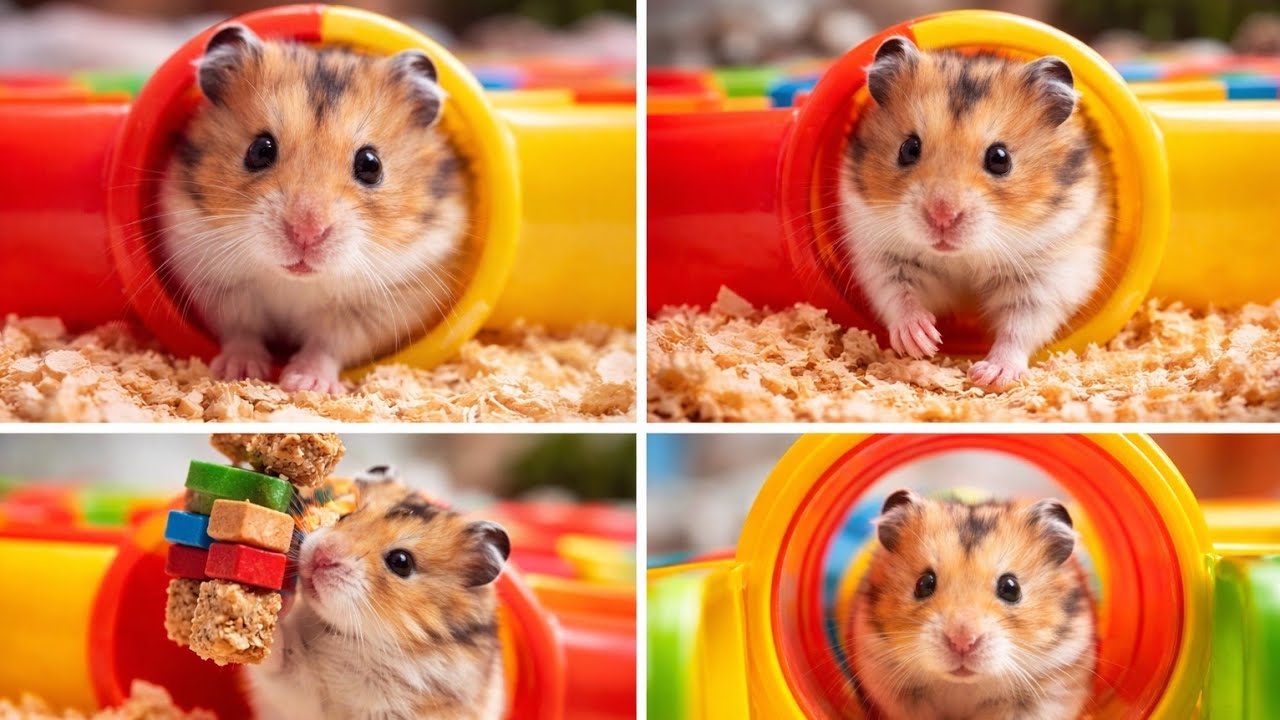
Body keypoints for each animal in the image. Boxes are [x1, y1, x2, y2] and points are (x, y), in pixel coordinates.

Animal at [158, 24, 471, 394]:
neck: (296, 282)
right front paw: (241, 371)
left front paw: (304, 383)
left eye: (371, 164)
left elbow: (328, 344)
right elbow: (241, 331)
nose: (305, 233)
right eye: (259, 150)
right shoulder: (218, 284)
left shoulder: (378, 306)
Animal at [245, 477, 510, 720]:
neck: (360, 639)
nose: (319, 556)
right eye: (345, 516)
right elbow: (279, 657)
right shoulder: (296, 683)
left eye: (401, 561)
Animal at [839, 36, 1109, 389]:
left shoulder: (1048, 275)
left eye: (1000, 158)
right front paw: (922, 341)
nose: (942, 217)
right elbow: (901, 296)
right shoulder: (883, 256)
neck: (962, 257)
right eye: (909, 148)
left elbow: (1019, 327)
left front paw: (990, 375)